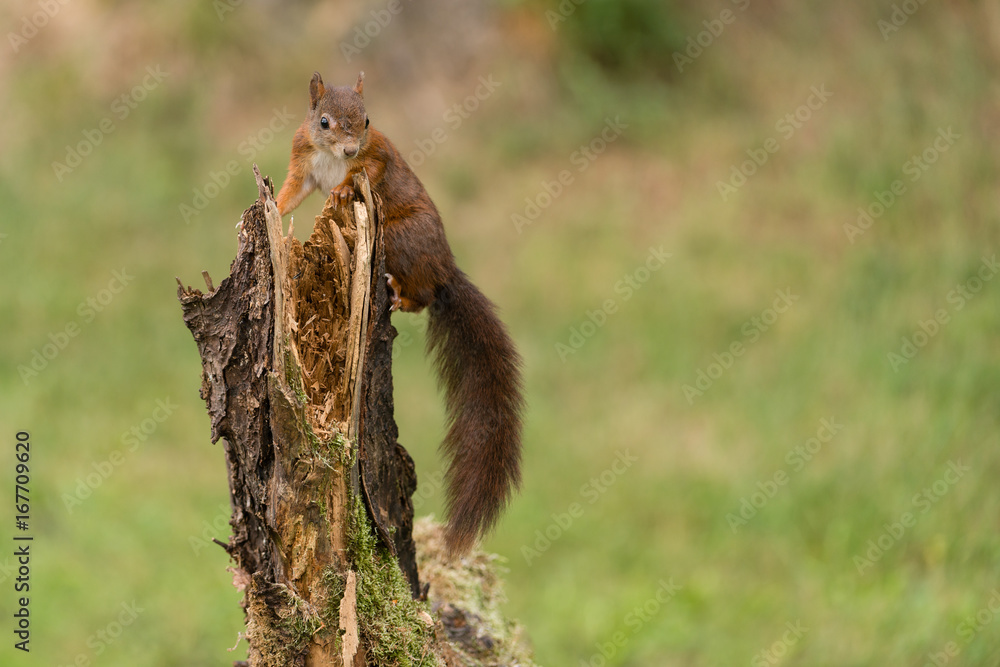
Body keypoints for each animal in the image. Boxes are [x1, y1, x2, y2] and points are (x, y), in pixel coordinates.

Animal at [276, 72, 524, 556]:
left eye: (368, 120)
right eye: (324, 121)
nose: (348, 149)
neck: (333, 156)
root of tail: (445, 269)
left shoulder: (377, 154)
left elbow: (367, 173)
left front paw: (342, 188)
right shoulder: (302, 158)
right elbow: (293, 191)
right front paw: (272, 210)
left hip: (401, 237)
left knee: (422, 296)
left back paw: (399, 294)